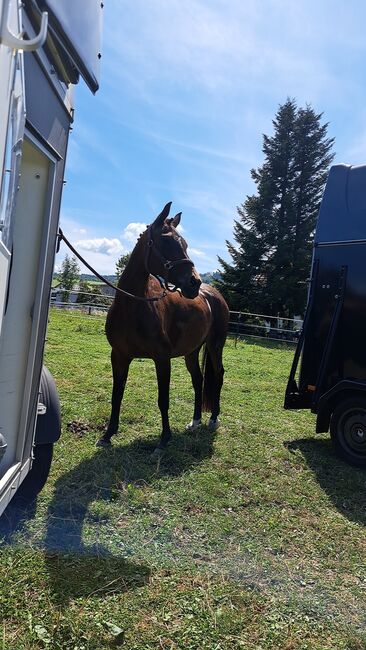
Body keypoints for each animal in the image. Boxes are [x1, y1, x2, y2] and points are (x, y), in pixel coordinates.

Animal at [97, 201, 229, 450]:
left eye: (185, 244)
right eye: (167, 242)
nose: (194, 282)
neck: (133, 305)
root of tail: (213, 294)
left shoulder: (162, 359)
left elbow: (163, 399)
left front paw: (164, 439)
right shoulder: (119, 356)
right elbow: (117, 395)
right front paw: (108, 435)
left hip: (216, 346)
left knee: (218, 374)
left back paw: (213, 418)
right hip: (192, 351)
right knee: (198, 379)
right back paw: (195, 420)